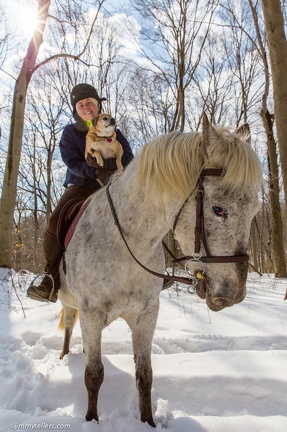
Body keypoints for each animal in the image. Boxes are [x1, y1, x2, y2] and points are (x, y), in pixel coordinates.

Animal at [58, 113, 264, 426]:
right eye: (218, 210)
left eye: (254, 211)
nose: (233, 294)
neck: (126, 244)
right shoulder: (92, 313)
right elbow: (93, 375)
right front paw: (91, 420)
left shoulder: (147, 314)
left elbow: (144, 376)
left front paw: (148, 422)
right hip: (69, 303)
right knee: (69, 327)